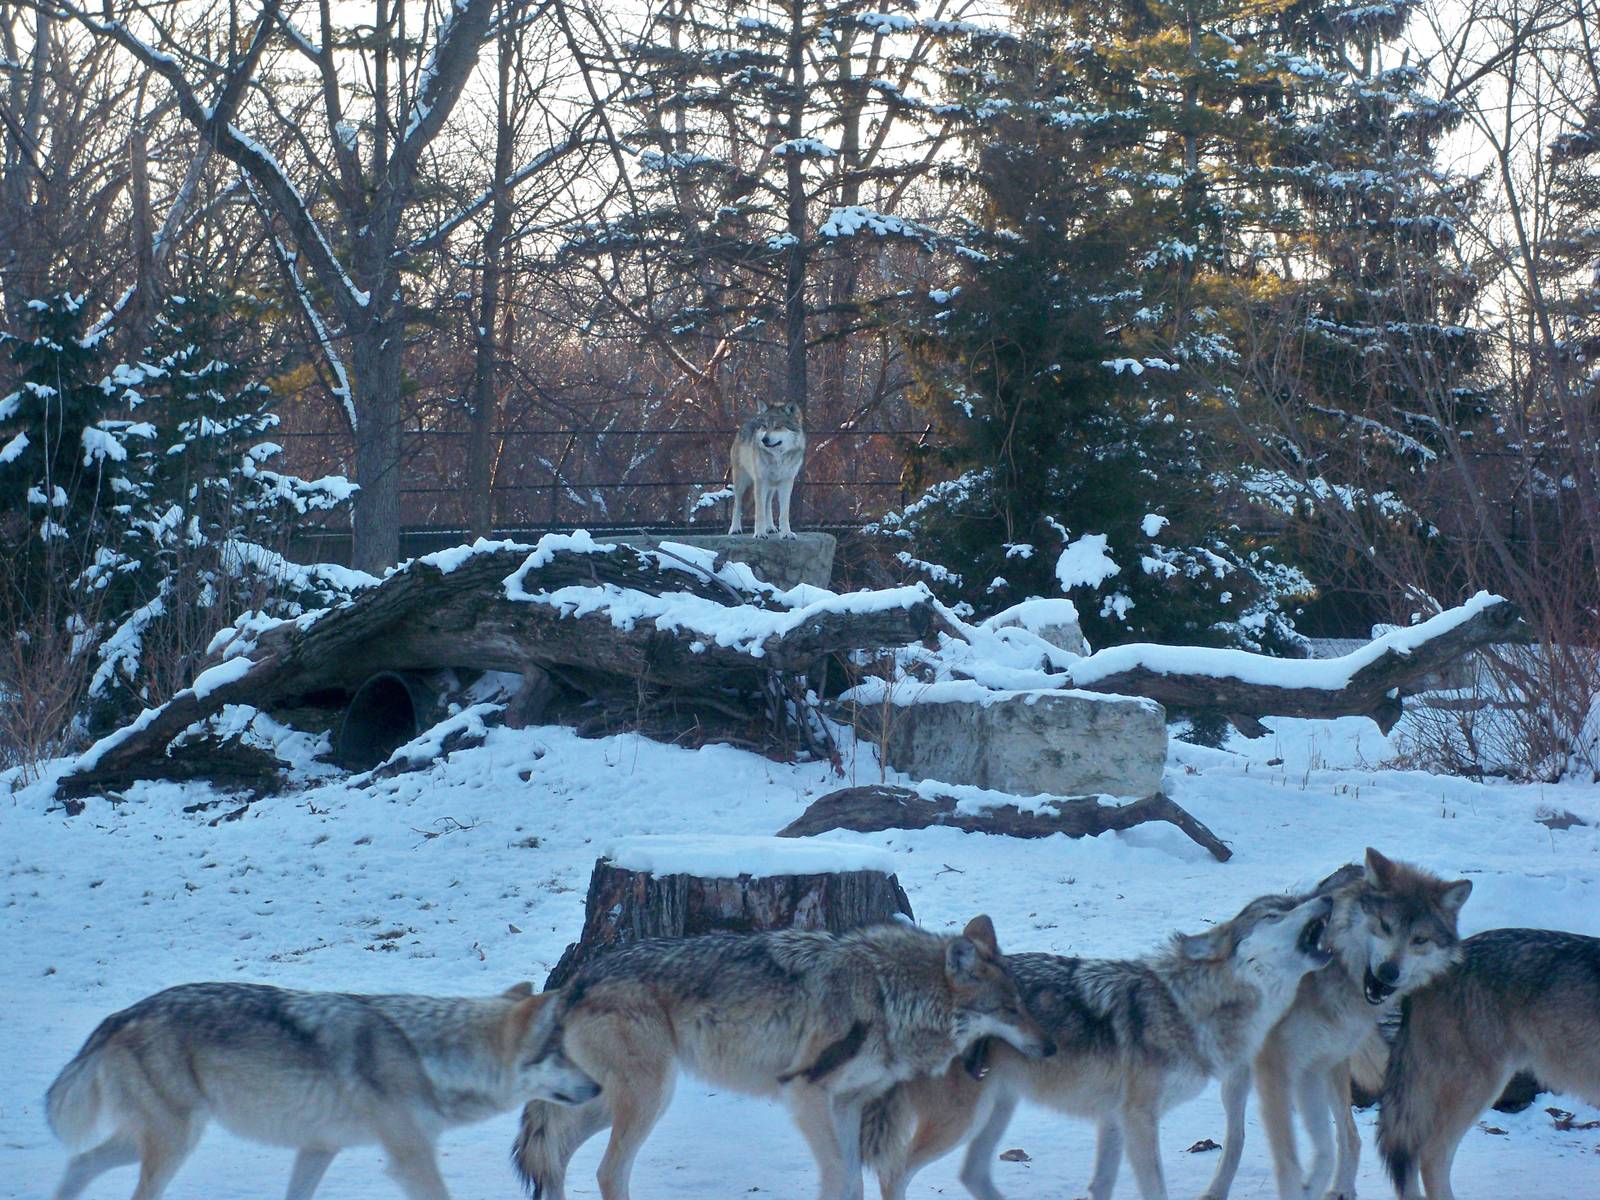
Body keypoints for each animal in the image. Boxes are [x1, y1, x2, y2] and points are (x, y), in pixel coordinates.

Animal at [45, 980, 599, 1200]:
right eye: (563, 1052)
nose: (597, 1086)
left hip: (156, 1138)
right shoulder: (410, 1159)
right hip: (175, 1141)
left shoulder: (318, 1148)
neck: (429, 1055)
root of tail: (121, 1014)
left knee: (78, 1162)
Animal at [512, 916, 1055, 1200]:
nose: (1050, 1047)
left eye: (1026, 1005)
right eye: (1010, 1009)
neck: (888, 993)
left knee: (555, 1153)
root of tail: (577, 979)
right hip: (649, 1097)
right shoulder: (806, 1093)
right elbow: (838, 1174)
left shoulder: (848, 1104)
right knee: (607, 1170)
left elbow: (854, 1181)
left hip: (614, 1099)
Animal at [728, 400, 806, 539]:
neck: (778, 457)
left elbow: (783, 513)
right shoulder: (760, 481)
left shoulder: (786, 483)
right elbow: (759, 512)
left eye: (777, 427)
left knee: (767, 504)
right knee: (737, 504)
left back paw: (770, 527)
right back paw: (735, 529)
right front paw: (759, 533)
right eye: (764, 426)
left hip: (771, 485)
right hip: (742, 482)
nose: (764, 439)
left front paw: (786, 533)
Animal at [864, 889, 1336, 1200]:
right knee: (894, 1172)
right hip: (962, 1119)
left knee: (971, 1174)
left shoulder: (1113, 1118)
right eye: (1274, 914)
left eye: (1292, 902)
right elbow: (1155, 1189)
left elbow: (1103, 1184)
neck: (1186, 1005)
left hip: (995, 1108)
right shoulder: (1138, 1118)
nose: (1328, 899)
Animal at [1200, 849, 1473, 1200]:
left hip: (1330, 1070)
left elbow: (1327, 1145)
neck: (1339, 979)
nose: (1388, 973)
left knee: (1349, 1135)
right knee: (1236, 1138)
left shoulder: (1312, 1066)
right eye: (1385, 926)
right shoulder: (1274, 1064)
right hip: (1240, 1076)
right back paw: (1217, 1189)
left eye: (1419, 939)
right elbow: (1286, 1152)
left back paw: (1341, 1187)